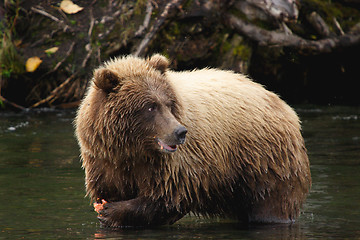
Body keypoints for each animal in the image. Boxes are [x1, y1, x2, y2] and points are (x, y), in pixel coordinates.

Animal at [74, 54, 310, 227]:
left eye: (168, 103)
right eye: (150, 107)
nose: (180, 132)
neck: (132, 149)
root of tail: (282, 103)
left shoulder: (173, 166)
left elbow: (166, 198)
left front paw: (111, 211)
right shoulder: (106, 161)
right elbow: (111, 189)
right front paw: (107, 208)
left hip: (263, 162)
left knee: (272, 202)